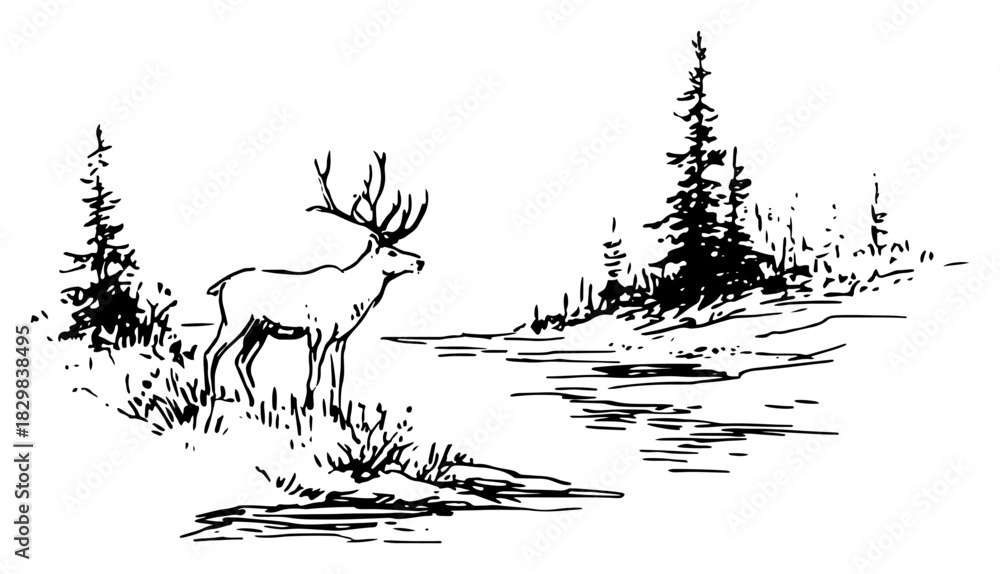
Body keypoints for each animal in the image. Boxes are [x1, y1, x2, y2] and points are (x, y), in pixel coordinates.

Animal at [203, 151, 428, 418]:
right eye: (391, 252)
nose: (420, 261)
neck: (355, 299)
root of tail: (221, 284)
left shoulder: (341, 339)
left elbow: (338, 378)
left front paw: (339, 415)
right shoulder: (318, 332)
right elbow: (313, 377)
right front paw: (307, 409)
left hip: (260, 327)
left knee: (242, 359)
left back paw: (254, 401)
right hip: (235, 319)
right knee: (212, 352)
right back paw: (210, 396)